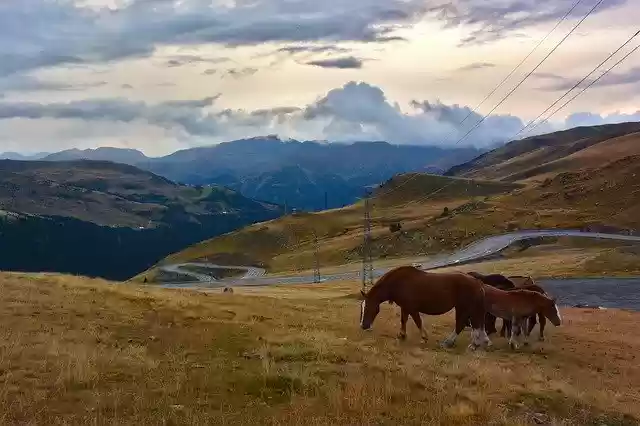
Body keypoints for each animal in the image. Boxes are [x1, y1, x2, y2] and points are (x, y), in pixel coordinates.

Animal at [359, 266, 491, 350]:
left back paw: (451, 343)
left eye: (368, 307)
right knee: (475, 324)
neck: (398, 283)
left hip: (465, 307)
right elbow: (403, 320)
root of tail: (477, 282)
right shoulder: (405, 307)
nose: (363, 326)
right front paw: (402, 335)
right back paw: (477, 343)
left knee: (464, 324)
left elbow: (418, 322)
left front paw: (424, 337)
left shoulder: (412, 309)